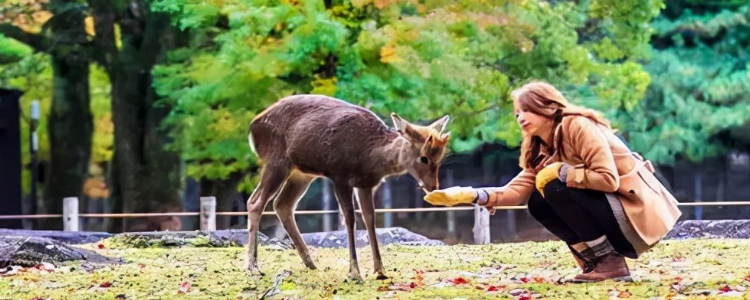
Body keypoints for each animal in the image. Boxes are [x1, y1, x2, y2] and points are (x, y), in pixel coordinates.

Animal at [245, 94, 452, 282]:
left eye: (440, 156)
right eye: (423, 158)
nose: (433, 186)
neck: (371, 157)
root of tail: (253, 128)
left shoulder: (366, 184)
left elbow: (370, 219)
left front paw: (380, 270)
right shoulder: (340, 176)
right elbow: (350, 218)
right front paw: (354, 273)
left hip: (302, 173)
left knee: (282, 204)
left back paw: (311, 263)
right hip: (276, 160)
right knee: (255, 202)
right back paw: (253, 267)